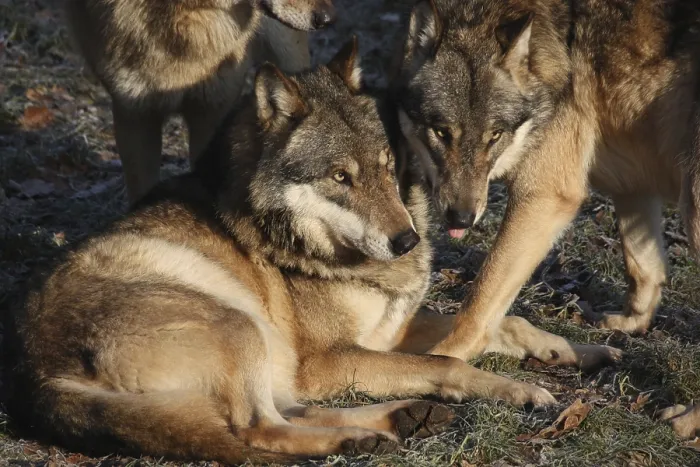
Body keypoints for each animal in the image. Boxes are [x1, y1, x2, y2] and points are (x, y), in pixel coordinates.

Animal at [391, 0, 700, 437]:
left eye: (494, 136)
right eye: (441, 132)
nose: (462, 218)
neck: (553, 50)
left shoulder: (547, 194)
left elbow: (477, 304)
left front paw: (443, 359)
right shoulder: (632, 183)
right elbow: (645, 266)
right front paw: (631, 324)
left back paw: (687, 420)